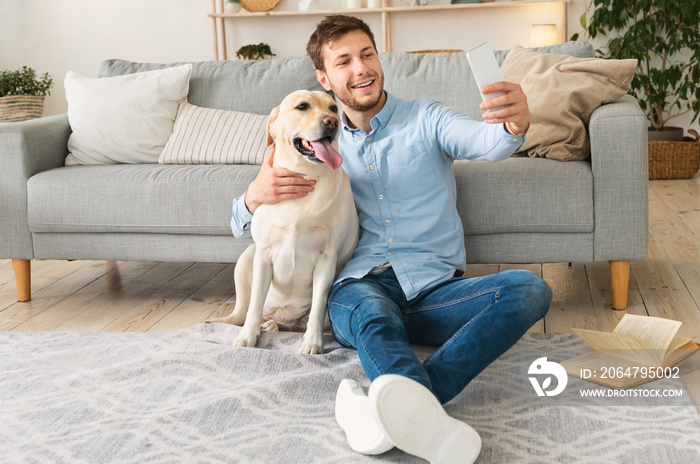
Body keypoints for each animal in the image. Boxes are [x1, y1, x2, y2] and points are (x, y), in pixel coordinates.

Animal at [209, 90, 358, 356]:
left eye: (333, 108)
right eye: (302, 106)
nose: (332, 122)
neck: (306, 176)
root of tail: (283, 316)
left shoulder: (327, 259)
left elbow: (317, 306)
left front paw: (313, 343)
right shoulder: (263, 254)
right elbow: (255, 304)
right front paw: (247, 338)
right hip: (247, 258)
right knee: (245, 311)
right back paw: (258, 324)